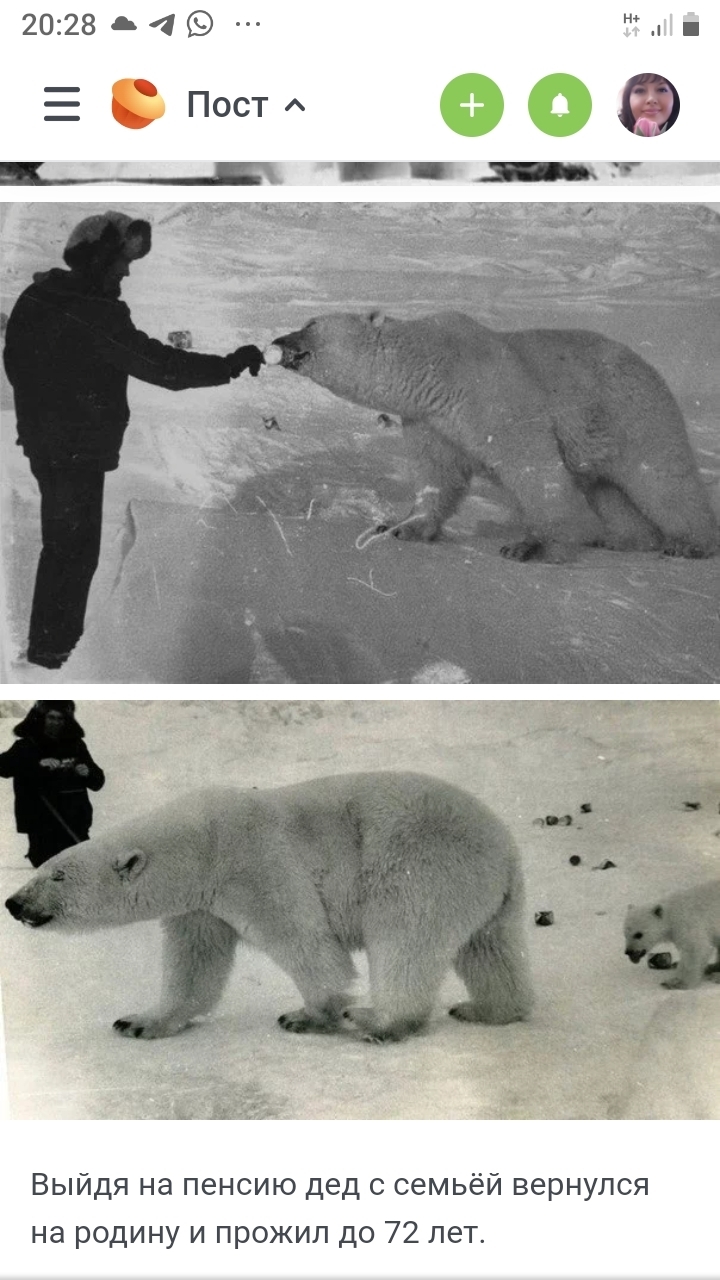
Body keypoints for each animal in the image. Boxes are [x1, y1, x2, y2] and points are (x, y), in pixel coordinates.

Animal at [2, 768, 532, 1039]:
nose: (13, 902)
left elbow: (305, 939)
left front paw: (309, 1014)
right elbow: (194, 964)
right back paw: (488, 1009)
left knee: (406, 939)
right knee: (490, 949)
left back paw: (378, 1020)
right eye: (43, 868)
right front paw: (139, 1020)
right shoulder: (201, 905)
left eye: (56, 875)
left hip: (420, 863)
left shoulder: (252, 862)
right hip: (485, 894)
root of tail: (505, 848)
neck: (199, 845)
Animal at [269, 309, 712, 560]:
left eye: (310, 324)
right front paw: (400, 526)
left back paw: (689, 543)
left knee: (663, 480)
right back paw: (623, 540)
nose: (277, 340)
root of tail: (649, 367)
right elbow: (438, 475)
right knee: (608, 492)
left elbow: (532, 466)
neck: (429, 366)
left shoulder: (490, 393)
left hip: (632, 415)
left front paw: (531, 544)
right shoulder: (430, 420)